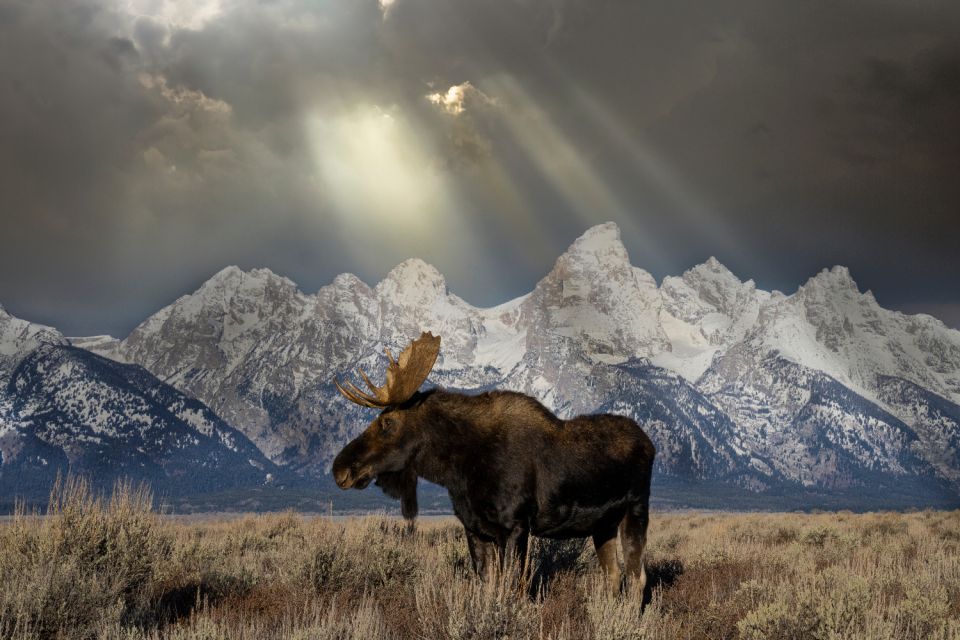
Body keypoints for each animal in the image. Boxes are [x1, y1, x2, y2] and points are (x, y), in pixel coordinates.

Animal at [334, 332, 656, 592]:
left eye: (387, 422)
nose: (340, 469)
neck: (458, 472)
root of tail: (651, 445)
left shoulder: (515, 526)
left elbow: (512, 588)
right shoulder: (475, 528)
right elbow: (487, 586)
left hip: (636, 509)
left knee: (638, 577)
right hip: (603, 524)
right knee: (614, 576)